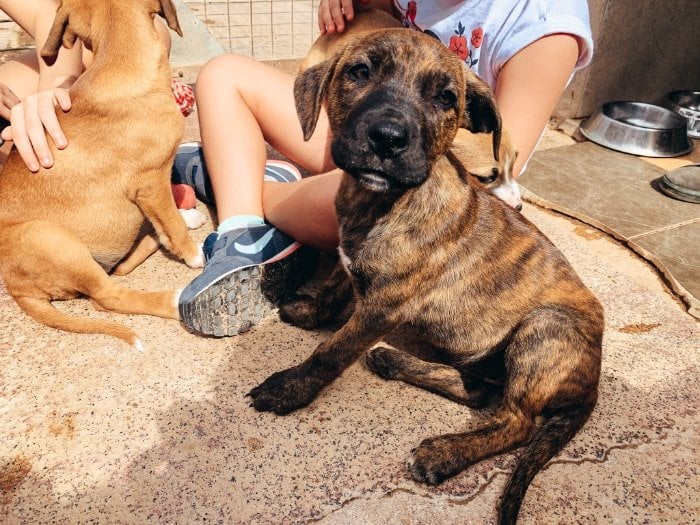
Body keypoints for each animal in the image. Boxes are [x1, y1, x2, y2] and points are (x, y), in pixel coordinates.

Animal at [0, 0, 202, 348]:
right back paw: (174, 300)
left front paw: (182, 222)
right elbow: (172, 226)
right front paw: (193, 255)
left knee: (120, 268)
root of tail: (17, 290)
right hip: (51, 240)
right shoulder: (151, 183)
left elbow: (168, 220)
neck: (118, 66)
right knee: (108, 297)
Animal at [249, 29, 604, 524]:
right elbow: (338, 283)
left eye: (445, 98)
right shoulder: (354, 266)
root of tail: (594, 377)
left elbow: (332, 350)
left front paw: (290, 388)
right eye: (360, 71)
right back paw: (396, 363)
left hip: (545, 326)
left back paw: (443, 453)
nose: (388, 138)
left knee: (516, 421)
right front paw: (309, 311)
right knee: (481, 393)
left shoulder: (384, 305)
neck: (383, 201)